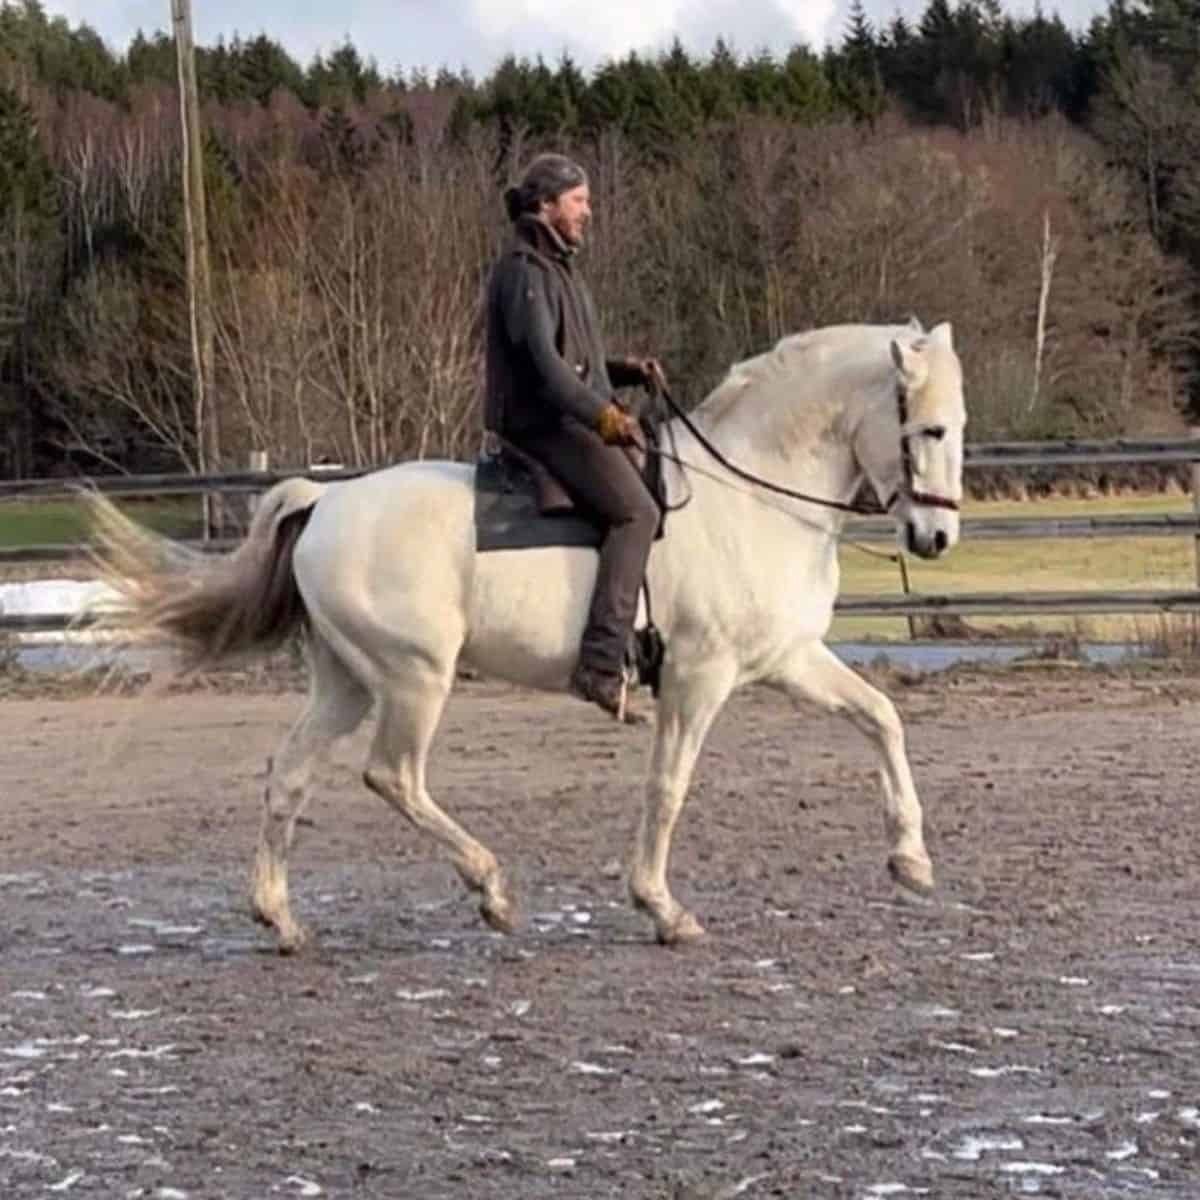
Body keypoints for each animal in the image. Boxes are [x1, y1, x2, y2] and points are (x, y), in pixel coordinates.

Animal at [88, 316, 960, 945]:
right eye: (931, 430)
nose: (937, 539)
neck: (752, 497)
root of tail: (325, 499)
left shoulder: (788, 658)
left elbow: (882, 718)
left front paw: (911, 860)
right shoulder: (699, 677)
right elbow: (669, 784)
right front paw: (661, 907)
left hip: (346, 681)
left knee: (291, 775)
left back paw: (281, 918)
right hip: (414, 677)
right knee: (394, 776)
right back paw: (493, 889)